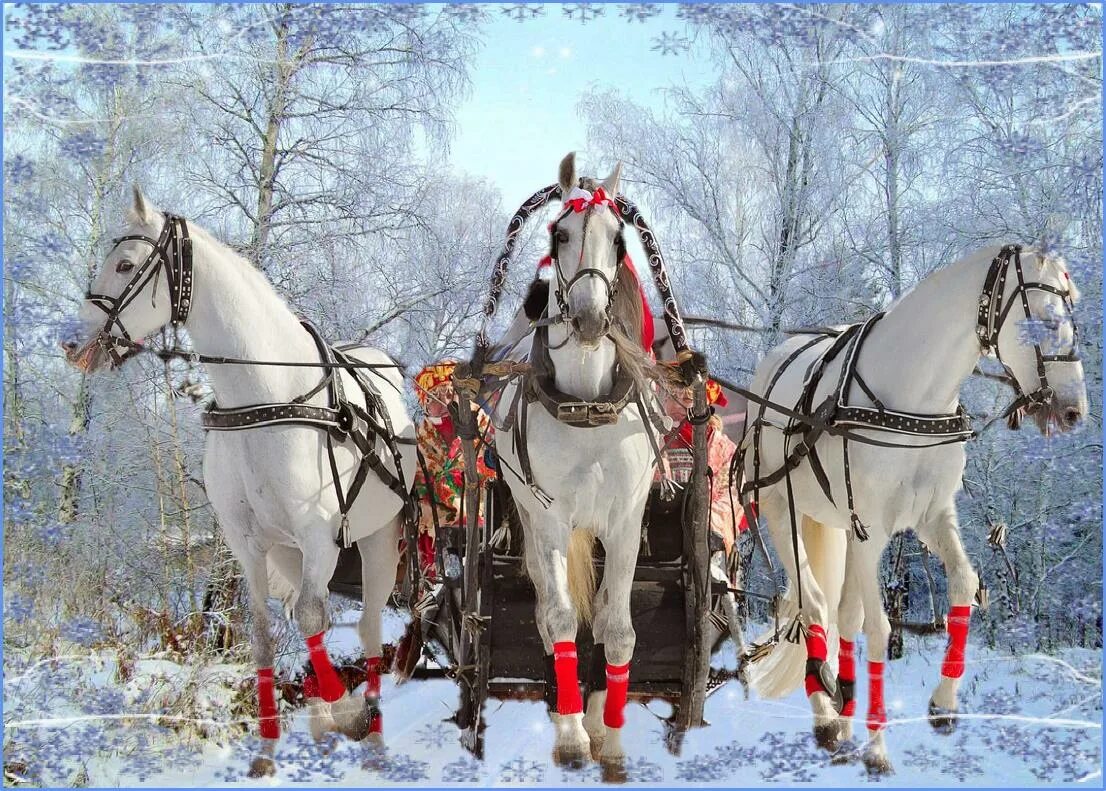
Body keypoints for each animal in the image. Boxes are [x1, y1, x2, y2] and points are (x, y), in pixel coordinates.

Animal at [65, 189, 418, 778]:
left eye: (125, 264)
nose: (72, 343)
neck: (265, 396)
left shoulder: (322, 536)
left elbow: (314, 620)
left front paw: (343, 712)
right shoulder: (250, 544)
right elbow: (263, 634)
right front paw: (271, 747)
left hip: (377, 540)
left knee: (368, 627)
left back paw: (370, 729)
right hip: (296, 554)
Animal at [495, 152, 659, 774]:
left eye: (618, 240)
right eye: (559, 234)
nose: (589, 319)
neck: (587, 401)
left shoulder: (626, 523)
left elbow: (617, 629)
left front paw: (607, 737)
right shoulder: (549, 520)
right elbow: (563, 620)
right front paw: (571, 738)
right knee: (547, 612)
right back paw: (559, 705)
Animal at [738, 241, 1083, 774]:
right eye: (1044, 320)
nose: (1074, 410)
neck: (915, 400)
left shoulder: (932, 517)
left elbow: (964, 583)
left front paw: (943, 704)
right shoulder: (869, 530)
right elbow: (879, 629)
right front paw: (877, 748)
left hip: (839, 526)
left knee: (841, 614)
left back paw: (845, 710)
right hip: (783, 511)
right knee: (810, 604)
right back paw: (827, 717)